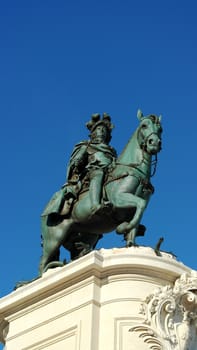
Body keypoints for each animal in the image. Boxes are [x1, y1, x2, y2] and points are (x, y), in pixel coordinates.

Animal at [39, 110, 162, 274]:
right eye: (144, 125)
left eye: (160, 129)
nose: (154, 143)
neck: (133, 169)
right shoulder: (119, 199)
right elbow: (140, 205)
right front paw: (123, 228)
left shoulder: (133, 208)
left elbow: (137, 218)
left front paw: (130, 241)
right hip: (54, 239)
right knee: (42, 266)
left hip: (85, 236)